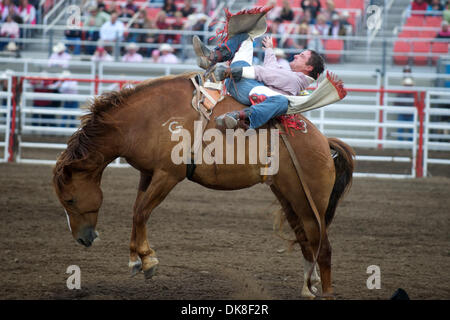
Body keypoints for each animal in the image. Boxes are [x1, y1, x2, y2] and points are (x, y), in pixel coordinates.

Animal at [53, 71, 356, 298]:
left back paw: (324, 292)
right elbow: (137, 212)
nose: (82, 239)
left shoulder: (168, 175)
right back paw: (308, 288)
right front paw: (137, 259)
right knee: (307, 242)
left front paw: (147, 260)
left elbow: (141, 212)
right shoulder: (148, 174)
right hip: (289, 197)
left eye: (69, 200)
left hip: (310, 201)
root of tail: (322, 141)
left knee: (323, 247)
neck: (146, 118)